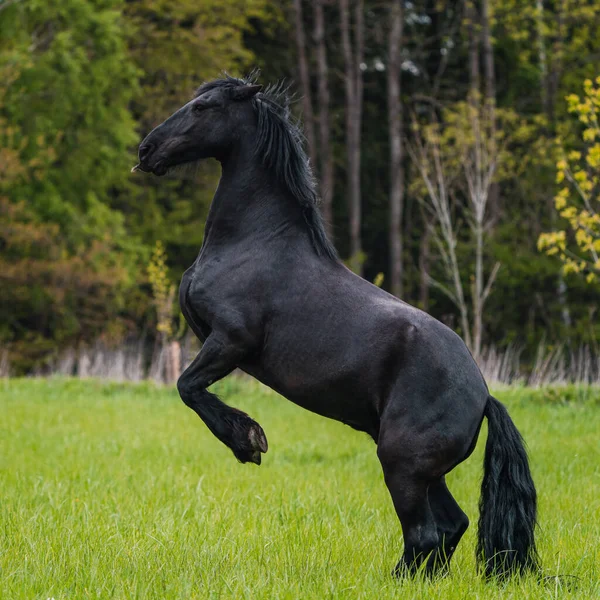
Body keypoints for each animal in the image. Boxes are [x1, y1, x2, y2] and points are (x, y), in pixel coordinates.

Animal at [132, 72, 540, 580]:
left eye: (203, 107)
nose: (147, 150)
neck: (253, 242)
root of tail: (484, 396)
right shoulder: (213, 341)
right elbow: (190, 387)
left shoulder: (229, 341)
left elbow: (188, 387)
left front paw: (248, 441)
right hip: (424, 472)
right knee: (450, 527)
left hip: (401, 464)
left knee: (424, 534)